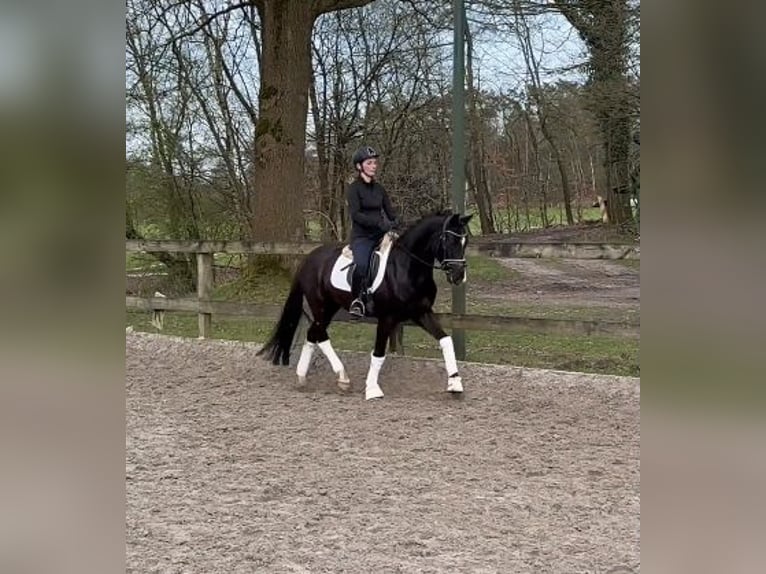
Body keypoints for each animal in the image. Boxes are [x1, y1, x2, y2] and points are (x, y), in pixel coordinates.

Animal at [260, 212, 474, 400]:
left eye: (465, 242)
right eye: (449, 240)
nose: (458, 276)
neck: (407, 268)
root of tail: (309, 258)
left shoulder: (421, 313)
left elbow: (446, 340)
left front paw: (455, 384)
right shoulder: (387, 317)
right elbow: (378, 353)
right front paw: (372, 390)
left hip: (329, 307)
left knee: (314, 334)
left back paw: (303, 377)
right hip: (321, 306)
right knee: (320, 335)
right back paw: (342, 378)